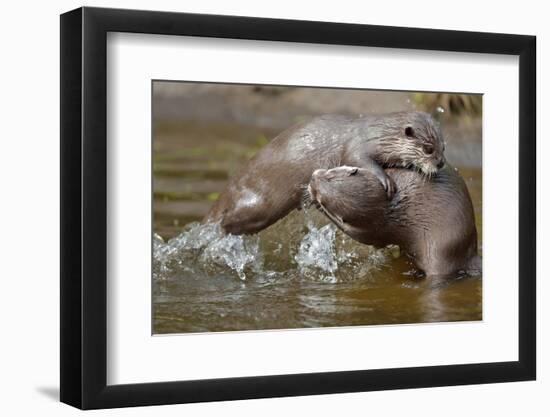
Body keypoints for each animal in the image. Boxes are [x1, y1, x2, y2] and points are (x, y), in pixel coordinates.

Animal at [207, 110, 448, 234]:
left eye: (443, 147)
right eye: (428, 149)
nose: (440, 164)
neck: (379, 135)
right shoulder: (357, 146)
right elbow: (358, 159)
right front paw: (385, 179)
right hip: (259, 203)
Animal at [310, 163, 484, 276]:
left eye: (330, 175)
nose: (312, 178)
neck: (388, 204)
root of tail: (470, 253)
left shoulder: (375, 231)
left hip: (440, 250)